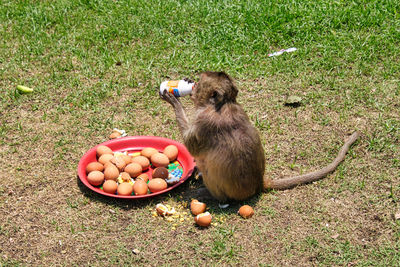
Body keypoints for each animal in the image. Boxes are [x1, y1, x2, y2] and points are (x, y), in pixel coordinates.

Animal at [161, 71, 360, 203]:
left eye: (201, 80)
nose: (192, 84)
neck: (223, 104)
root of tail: (258, 184)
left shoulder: (204, 121)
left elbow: (190, 145)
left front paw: (174, 100)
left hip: (219, 188)